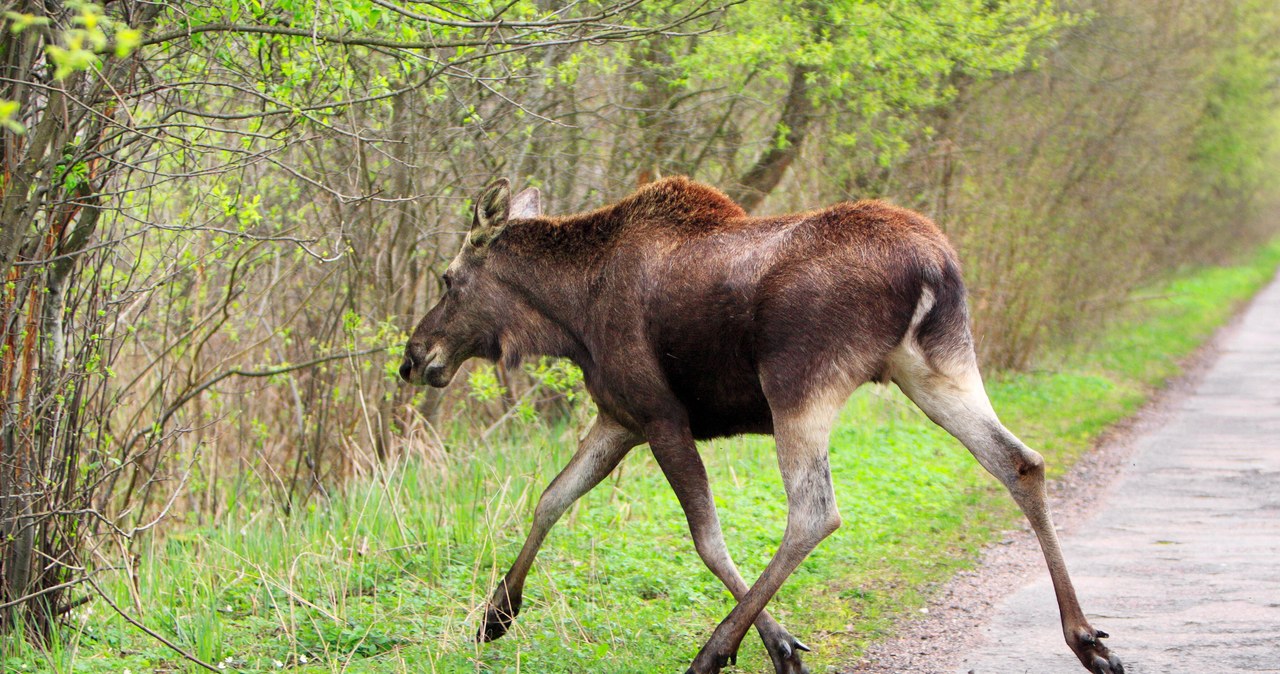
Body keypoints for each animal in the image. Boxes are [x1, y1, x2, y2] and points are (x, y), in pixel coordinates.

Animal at [396, 177, 1121, 674]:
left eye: (448, 278)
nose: (413, 357)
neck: (567, 319)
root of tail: (931, 267)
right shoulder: (619, 417)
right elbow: (552, 497)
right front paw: (496, 613)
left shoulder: (660, 416)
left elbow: (706, 538)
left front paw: (778, 644)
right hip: (936, 367)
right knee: (1020, 461)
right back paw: (1086, 638)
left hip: (798, 386)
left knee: (814, 513)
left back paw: (711, 651)